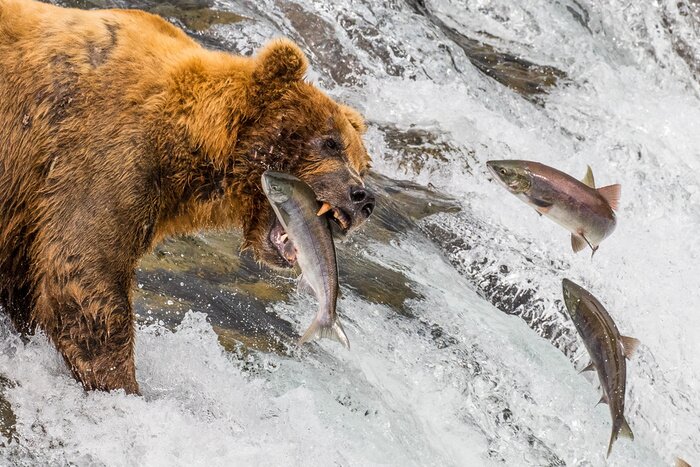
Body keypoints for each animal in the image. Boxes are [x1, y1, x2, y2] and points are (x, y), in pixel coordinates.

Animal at [0, 0, 375, 394]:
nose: (363, 198)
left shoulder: (28, 212)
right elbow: (82, 272)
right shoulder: (103, 155)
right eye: (330, 142)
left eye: (362, 163)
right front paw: (124, 387)